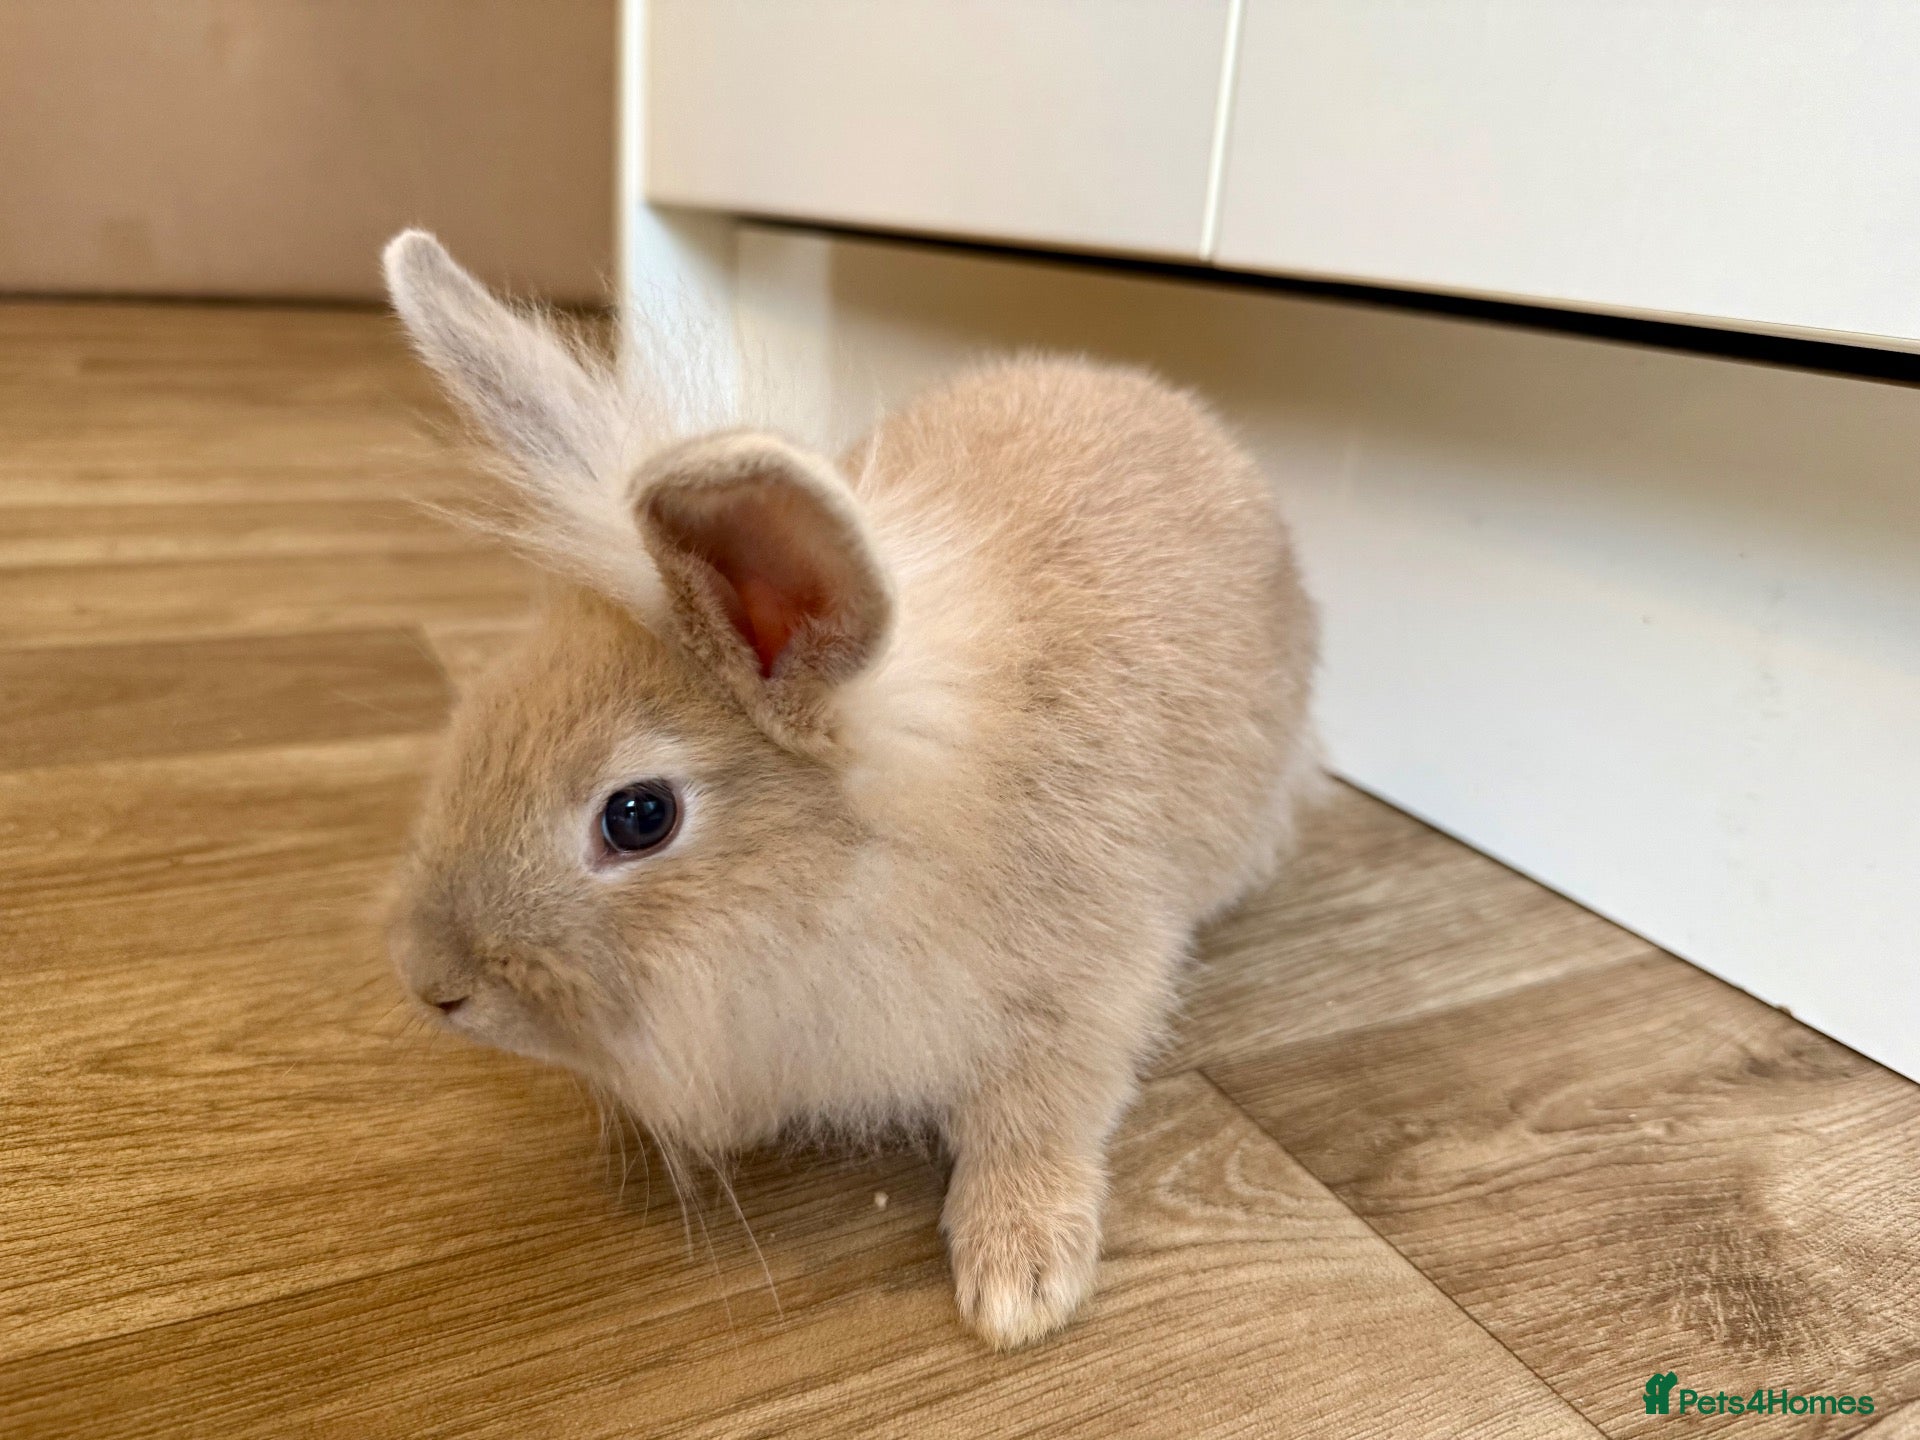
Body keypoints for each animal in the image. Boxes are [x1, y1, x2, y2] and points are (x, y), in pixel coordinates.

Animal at [382, 229, 1320, 1350]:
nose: (433, 984)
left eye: (639, 816)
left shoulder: (1087, 990)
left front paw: (1017, 1284)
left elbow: (1040, 1117)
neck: (876, 859)